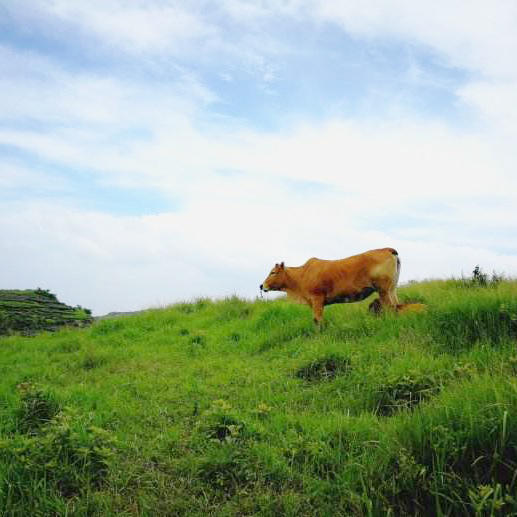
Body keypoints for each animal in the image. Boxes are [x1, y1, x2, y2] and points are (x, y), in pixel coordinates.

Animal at [260, 246, 402, 322]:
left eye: (273, 272)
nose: (261, 285)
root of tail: (387, 249)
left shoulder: (317, 299)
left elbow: (318, 320)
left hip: (383, 290)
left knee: (390, 307)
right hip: (392, 289)